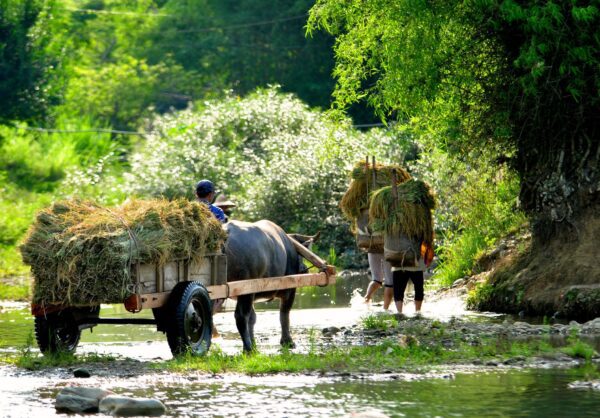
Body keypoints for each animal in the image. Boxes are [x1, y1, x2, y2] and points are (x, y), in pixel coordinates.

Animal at [221, 219, 314, 352]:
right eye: (301, 257)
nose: (304, 269)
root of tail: (227, 233)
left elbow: (253, 318)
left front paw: (254, 342)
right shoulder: (290, 290)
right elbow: (284, 314)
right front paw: (287, 341)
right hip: (246, 290)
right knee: (241, 316)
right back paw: (248, 348)